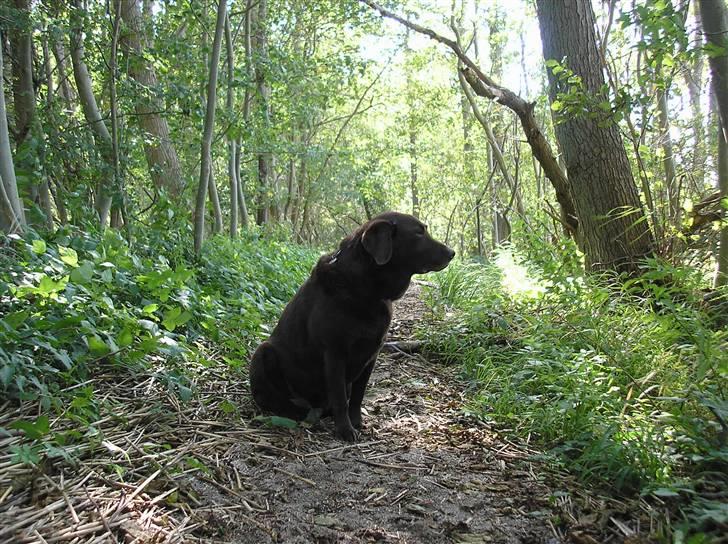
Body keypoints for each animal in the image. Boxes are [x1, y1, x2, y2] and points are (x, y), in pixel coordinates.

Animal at [250, 210, 456, 440]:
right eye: (419, 233)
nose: (452, 252)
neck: (366, 286)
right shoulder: (334, 353)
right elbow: (340, 397)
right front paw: (345, 430)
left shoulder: (371, 355)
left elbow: (357, 396)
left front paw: (356, 421)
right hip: (262, 353)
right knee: (275, 399)